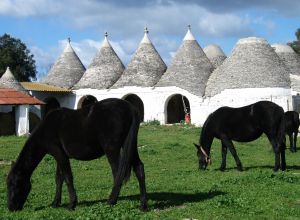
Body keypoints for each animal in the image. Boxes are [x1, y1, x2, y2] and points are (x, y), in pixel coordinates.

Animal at [6, 98, 147, 211]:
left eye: (15, 184)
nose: (11, 208)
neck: (46, 128)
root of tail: (130, 108)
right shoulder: (60, 156)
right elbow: (59, 179)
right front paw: (55, 203)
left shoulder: (59, 154)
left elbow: (68, 178)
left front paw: (71, 204)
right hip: (130, 146)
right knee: (139, 169)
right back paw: (143, 206)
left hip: (112, 149)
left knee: (118, 173)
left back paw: (112, 200)